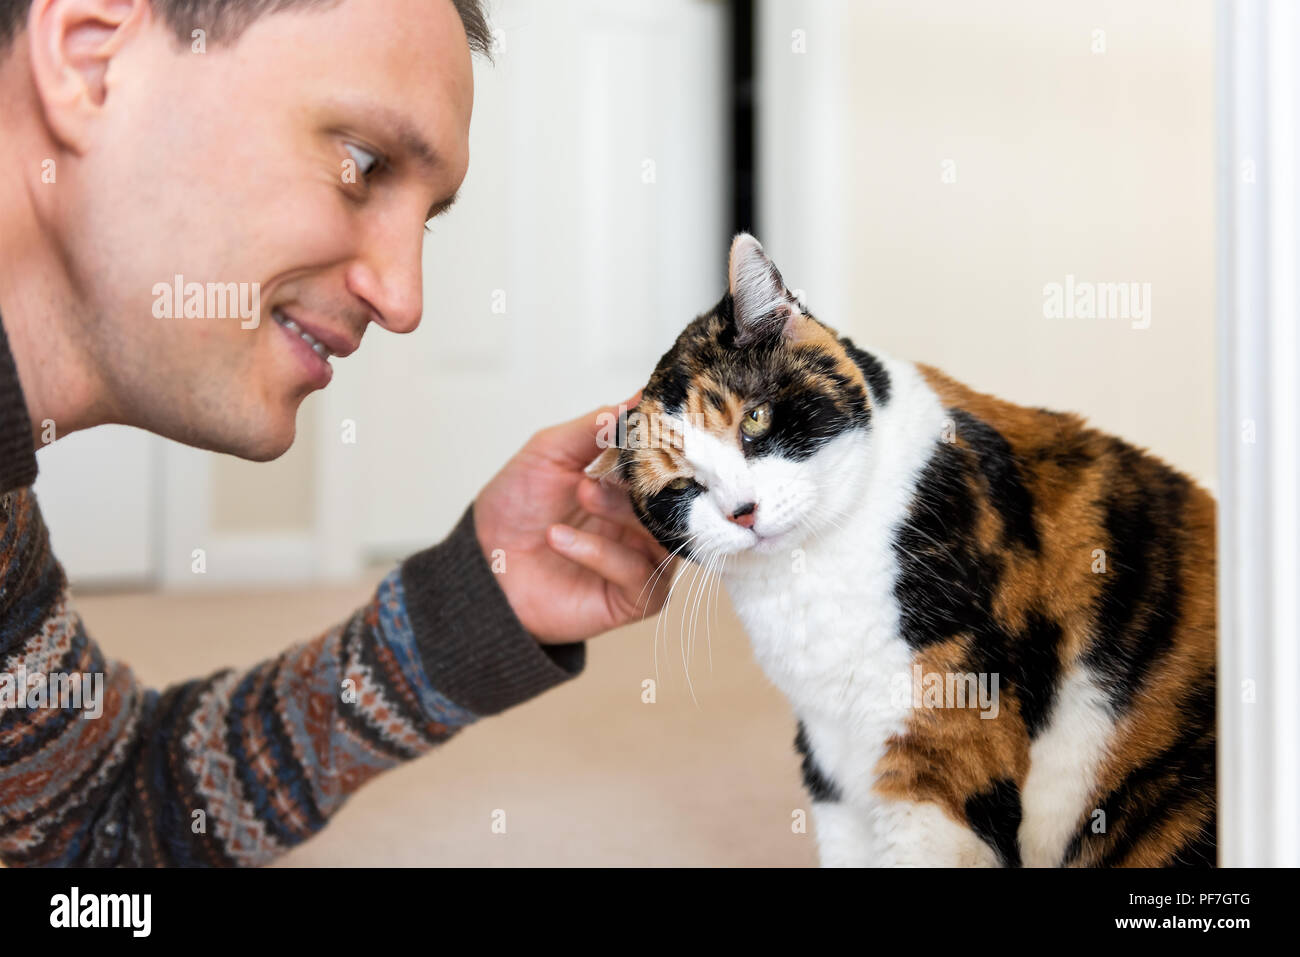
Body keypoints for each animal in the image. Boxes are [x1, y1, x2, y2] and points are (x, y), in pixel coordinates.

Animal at [590, 235, 1216, 868]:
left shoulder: (948, 729)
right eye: (682, 488)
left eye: (756, 419)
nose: (742, 510)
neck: (814, 576)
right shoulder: (832, 755)